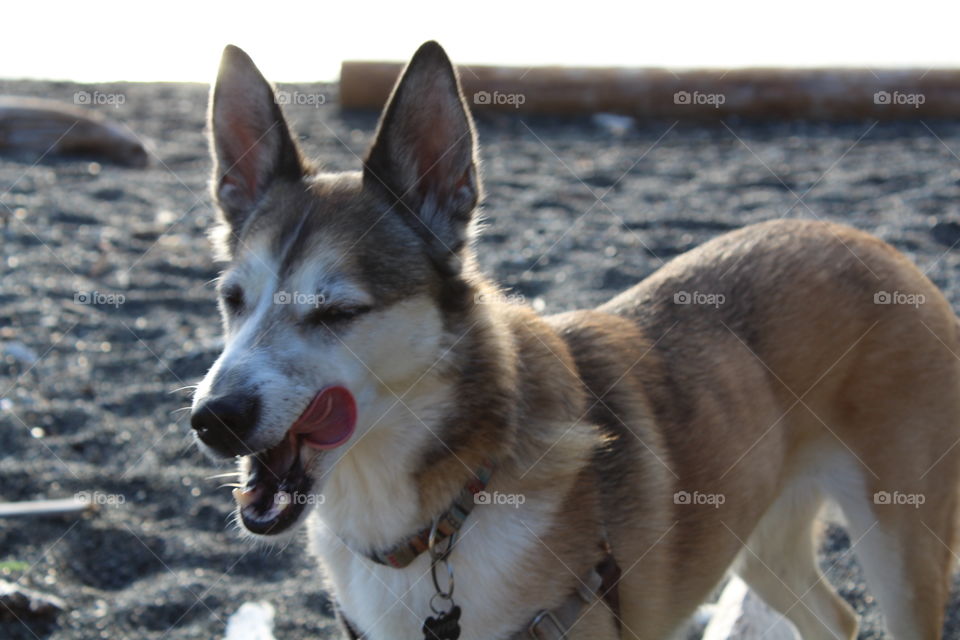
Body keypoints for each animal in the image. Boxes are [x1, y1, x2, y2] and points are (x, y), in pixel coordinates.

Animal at [191, 41, 960, 640]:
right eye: (232, 300)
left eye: (337, 311)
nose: (212, 419)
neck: (445, 514)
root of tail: (870, 242)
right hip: (761, 538)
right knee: (836, 618)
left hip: (899, 543)